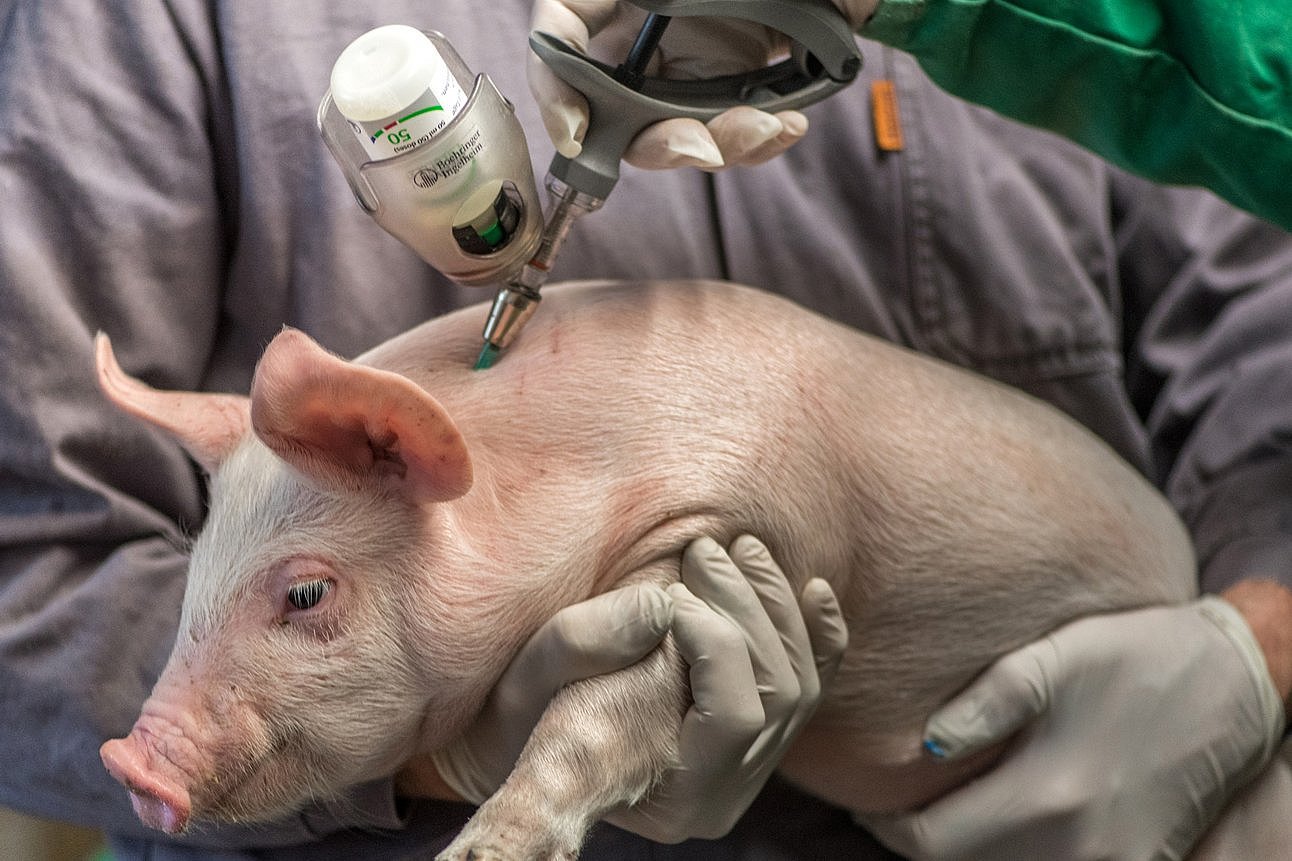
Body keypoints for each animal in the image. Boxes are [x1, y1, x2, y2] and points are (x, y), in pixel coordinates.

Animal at [95, 277, 1193, 853]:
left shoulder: (733, 546)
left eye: (305, 591)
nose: (129, 762)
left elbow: (591, 717)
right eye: (193, 582)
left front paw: (479, 849)